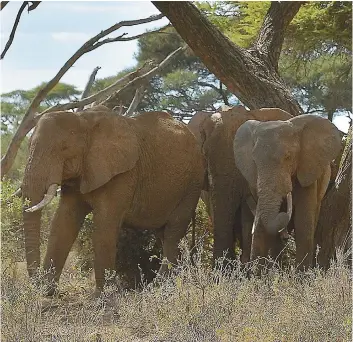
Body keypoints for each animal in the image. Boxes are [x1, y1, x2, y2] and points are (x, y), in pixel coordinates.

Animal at [20, 106, 204, 294]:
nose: (36, 282)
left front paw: (102, 295)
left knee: (174, 231)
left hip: (192, 183)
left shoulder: (122, 174)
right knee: (164, 233)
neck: (84, 120)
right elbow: (63, 222)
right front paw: (47, 290)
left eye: (64, 148)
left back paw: (159, 287)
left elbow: (104, 227)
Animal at [234, 113, 340, 268]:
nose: (283, 214)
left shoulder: (307, 170)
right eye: (255, 161)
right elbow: (260, 228)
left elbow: (303, 226)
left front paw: (303, 274)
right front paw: (256, 274)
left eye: (288, 157)